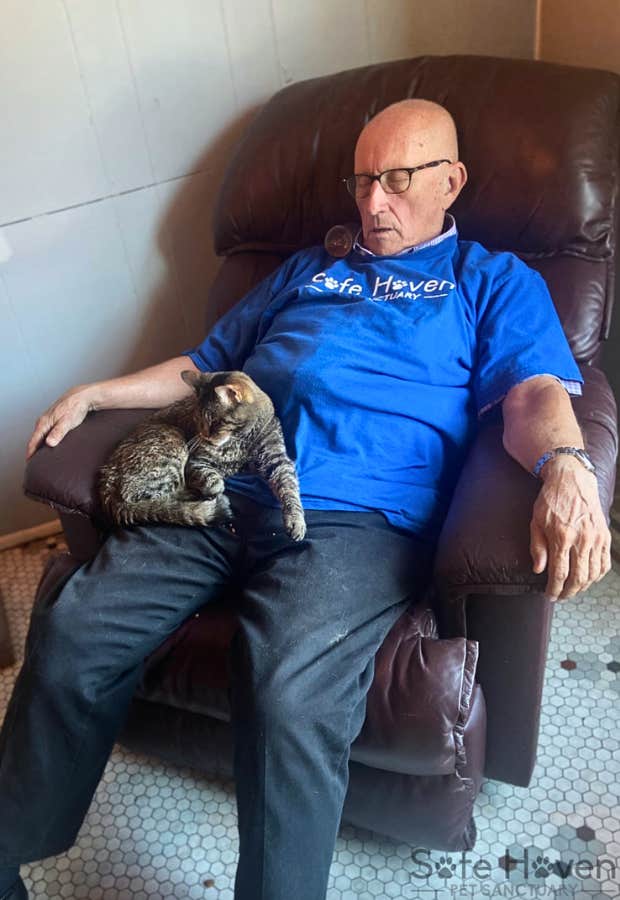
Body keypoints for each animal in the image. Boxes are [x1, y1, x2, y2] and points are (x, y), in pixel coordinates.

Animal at [97, 370, 308, 536]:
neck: (240, 439)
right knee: (149, 500)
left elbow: (289, 488)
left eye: (215, 421)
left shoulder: (277, 459)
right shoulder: (196, 461)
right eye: (198, 419)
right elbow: (212, 480)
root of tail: (106, 485)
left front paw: (296, 520)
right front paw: (216, 488)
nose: (204, 435)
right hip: (172, 444)